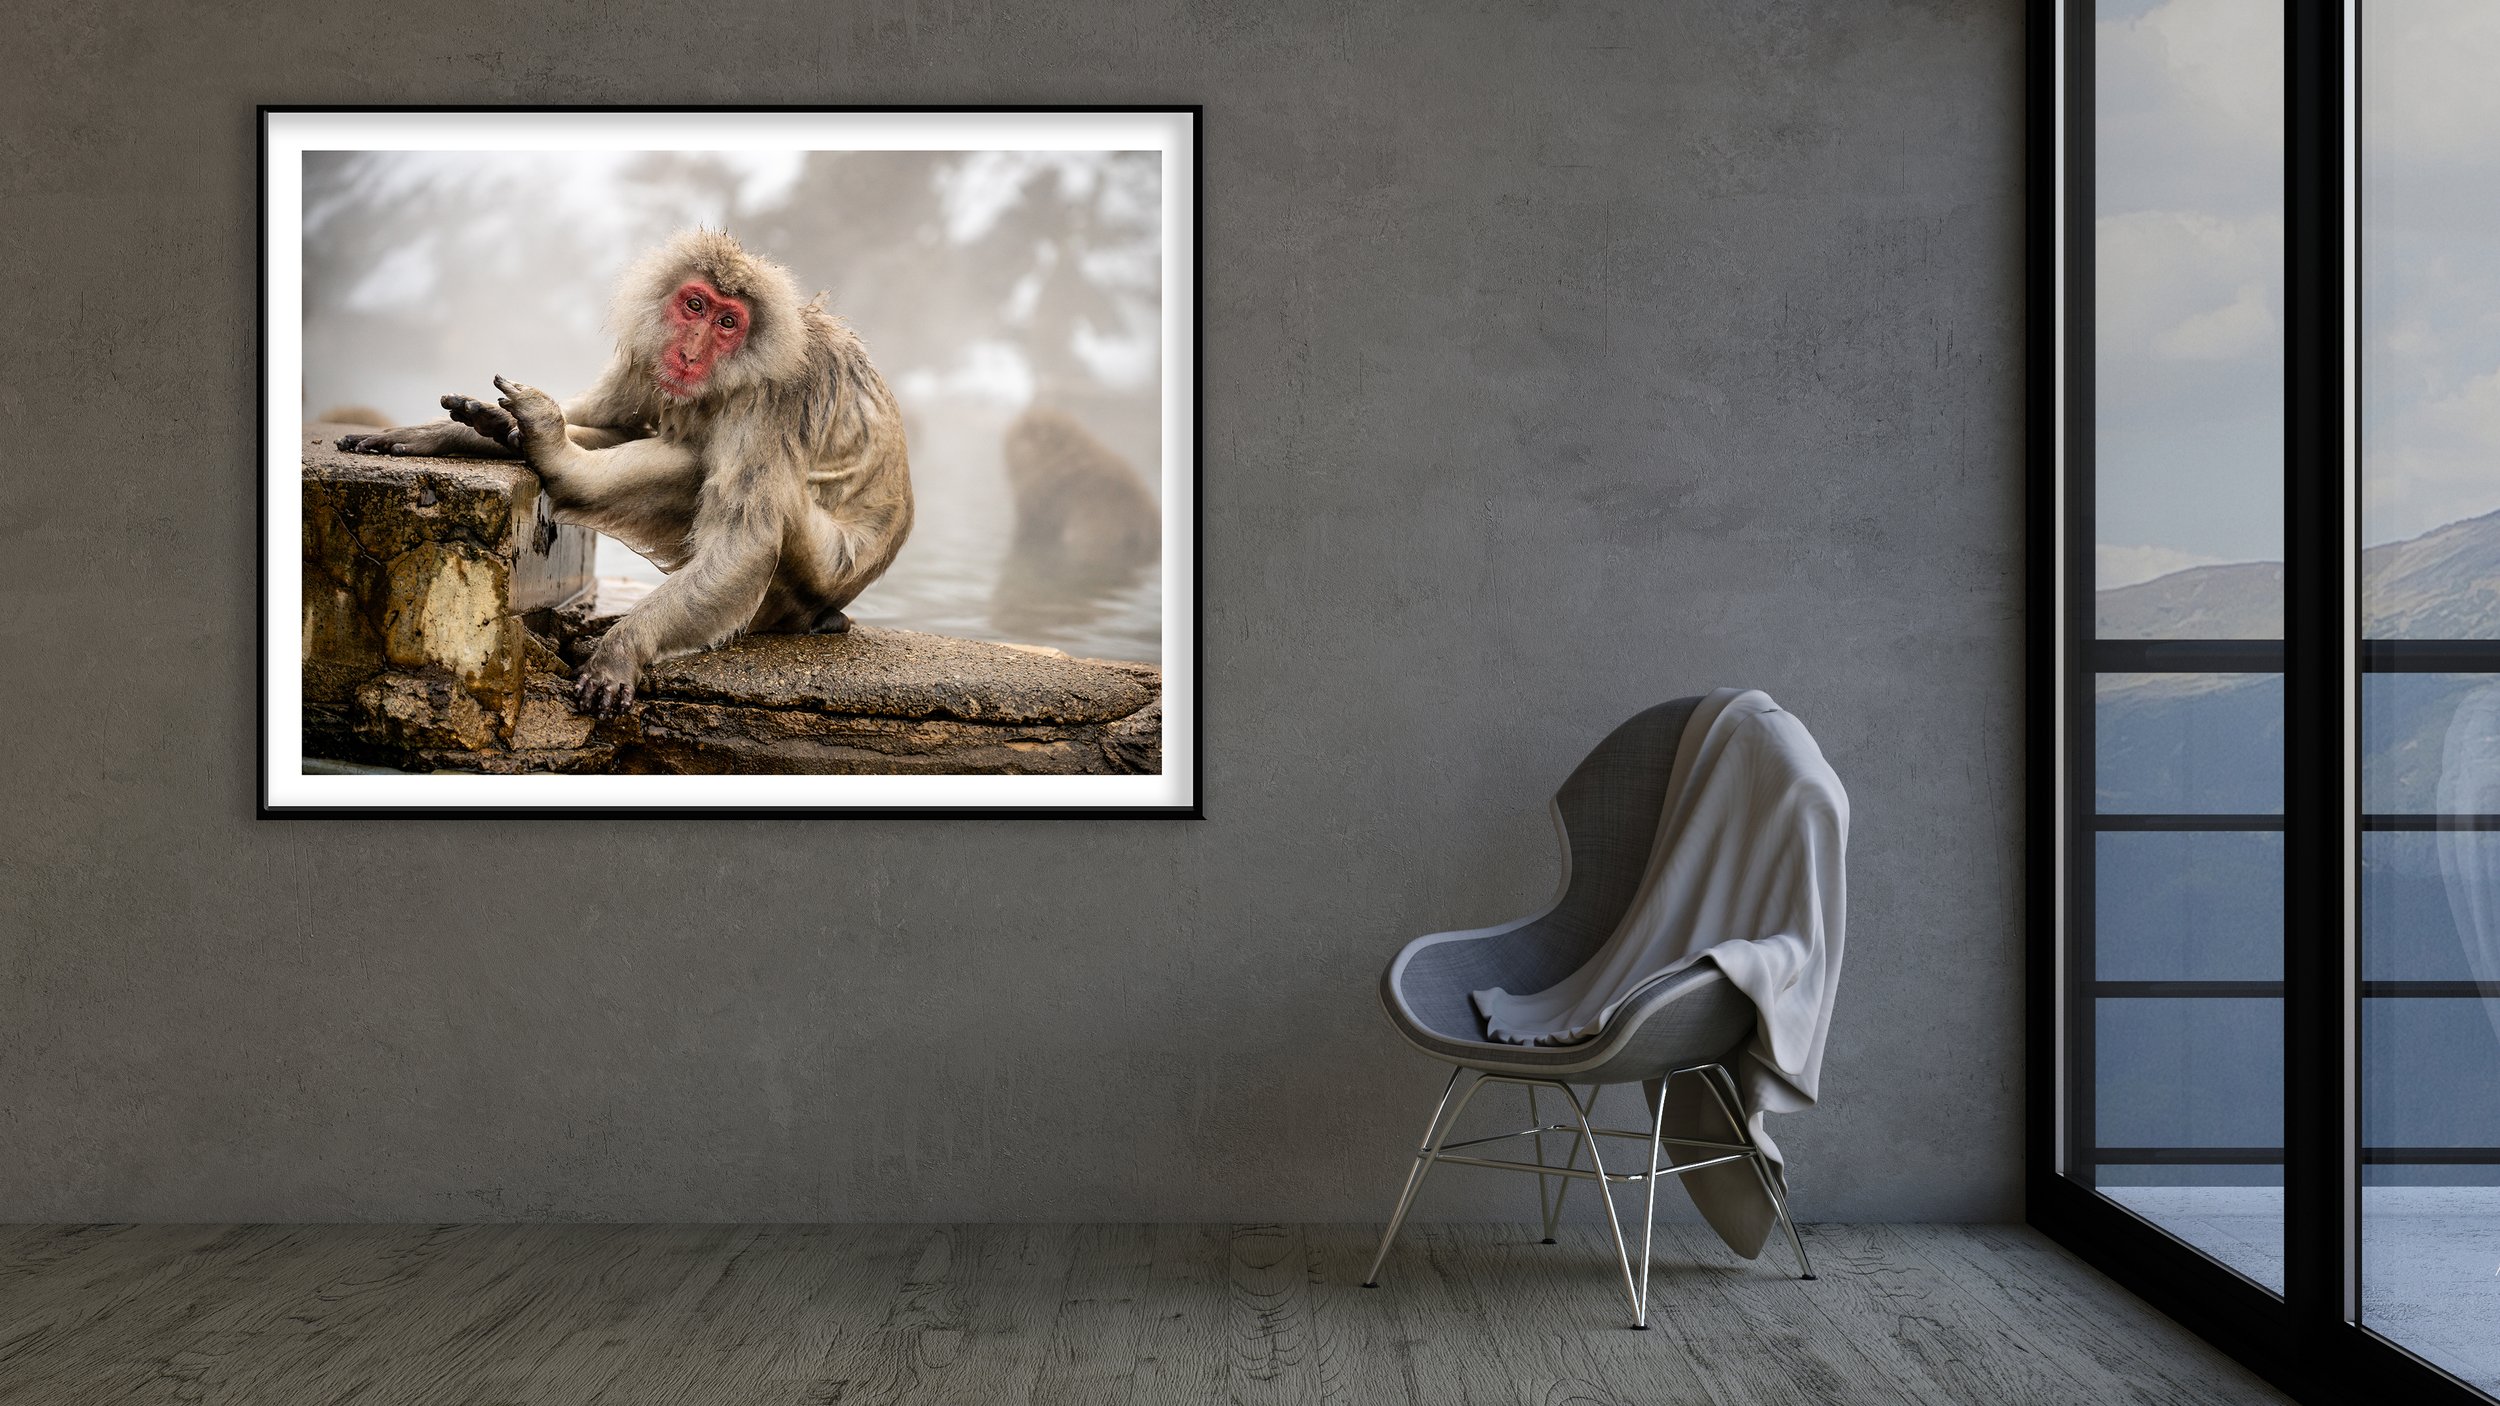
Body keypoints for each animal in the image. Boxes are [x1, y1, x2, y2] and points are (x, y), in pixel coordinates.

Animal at [336, 230, 914, 717]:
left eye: (729, 323)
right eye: (695, 305)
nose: (690, 353)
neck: (735, 373)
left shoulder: (777, 397)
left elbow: (745, 543)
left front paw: (622, 649)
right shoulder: (647, 353)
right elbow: (610, 421)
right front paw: (441, 433)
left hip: (807, 578)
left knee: (703, 470)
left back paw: (560, 465)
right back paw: (532, 441)